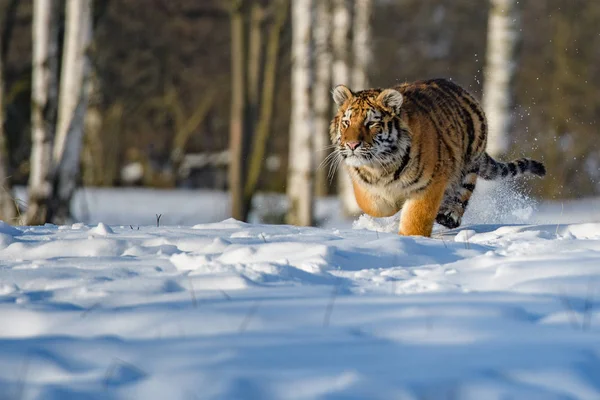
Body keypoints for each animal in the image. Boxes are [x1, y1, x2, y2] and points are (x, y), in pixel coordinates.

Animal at [330, 77, 548, 238]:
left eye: (371, 124)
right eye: (346, 122)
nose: (352, 145)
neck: (381, 165)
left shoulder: (428, 185)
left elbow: (416, 219)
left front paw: (412, 239)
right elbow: (373, 205)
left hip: (470, 160)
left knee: (463, 193)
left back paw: (449, 216)